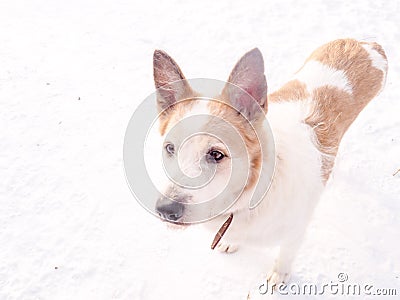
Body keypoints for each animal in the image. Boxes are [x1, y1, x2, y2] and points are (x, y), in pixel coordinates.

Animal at [151, 39, 388, 288]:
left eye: (216, 154)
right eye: (170, 148)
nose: (166, 210)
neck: (251, 194)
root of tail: (364, 43)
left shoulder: (296, 231)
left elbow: (286, 255)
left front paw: (279, 276)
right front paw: (232, 241)